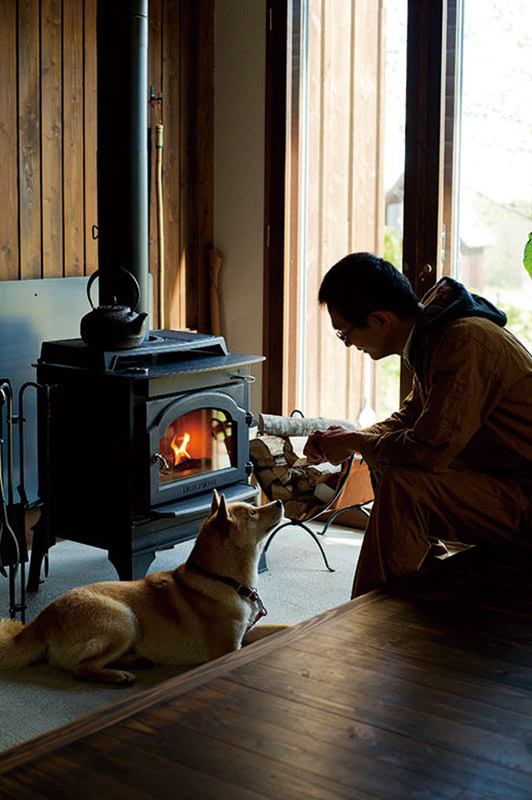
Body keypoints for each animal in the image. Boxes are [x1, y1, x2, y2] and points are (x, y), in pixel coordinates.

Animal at [0, 490, 286, 684]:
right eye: (252, 512)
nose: (280, 502)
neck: (221, 578)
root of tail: (41, 620)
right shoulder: (227, 649)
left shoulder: (247, 631)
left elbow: (282, 628)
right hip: (124, 620)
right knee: (81, 669)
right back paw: (118, 675)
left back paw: (137, 660)